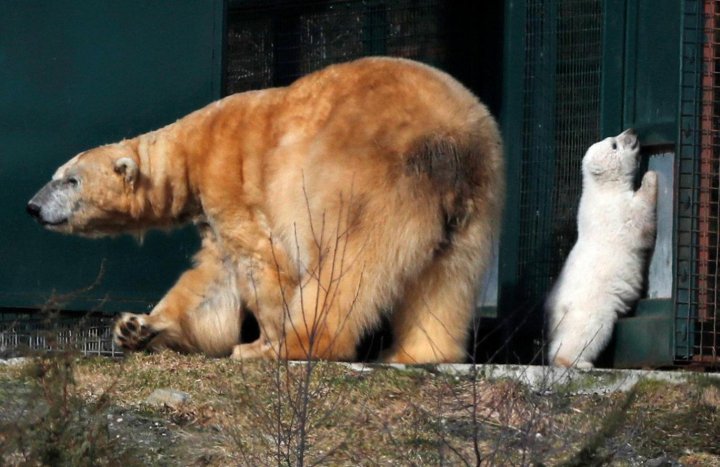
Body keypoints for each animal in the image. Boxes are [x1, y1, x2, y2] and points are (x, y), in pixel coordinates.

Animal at [29, 58, 506, 364]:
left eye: (70, 180)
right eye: (57, 175)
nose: (33, 206)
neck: (190, 148)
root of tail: (449, 141)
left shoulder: (228, 178)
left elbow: (259, 261)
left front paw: (257, 344)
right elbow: (212, 279)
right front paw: (136, 327)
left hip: (365, 179)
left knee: (345, 266)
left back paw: (297, 344)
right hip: (478, 198)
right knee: (447, 277)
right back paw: (419, 352)